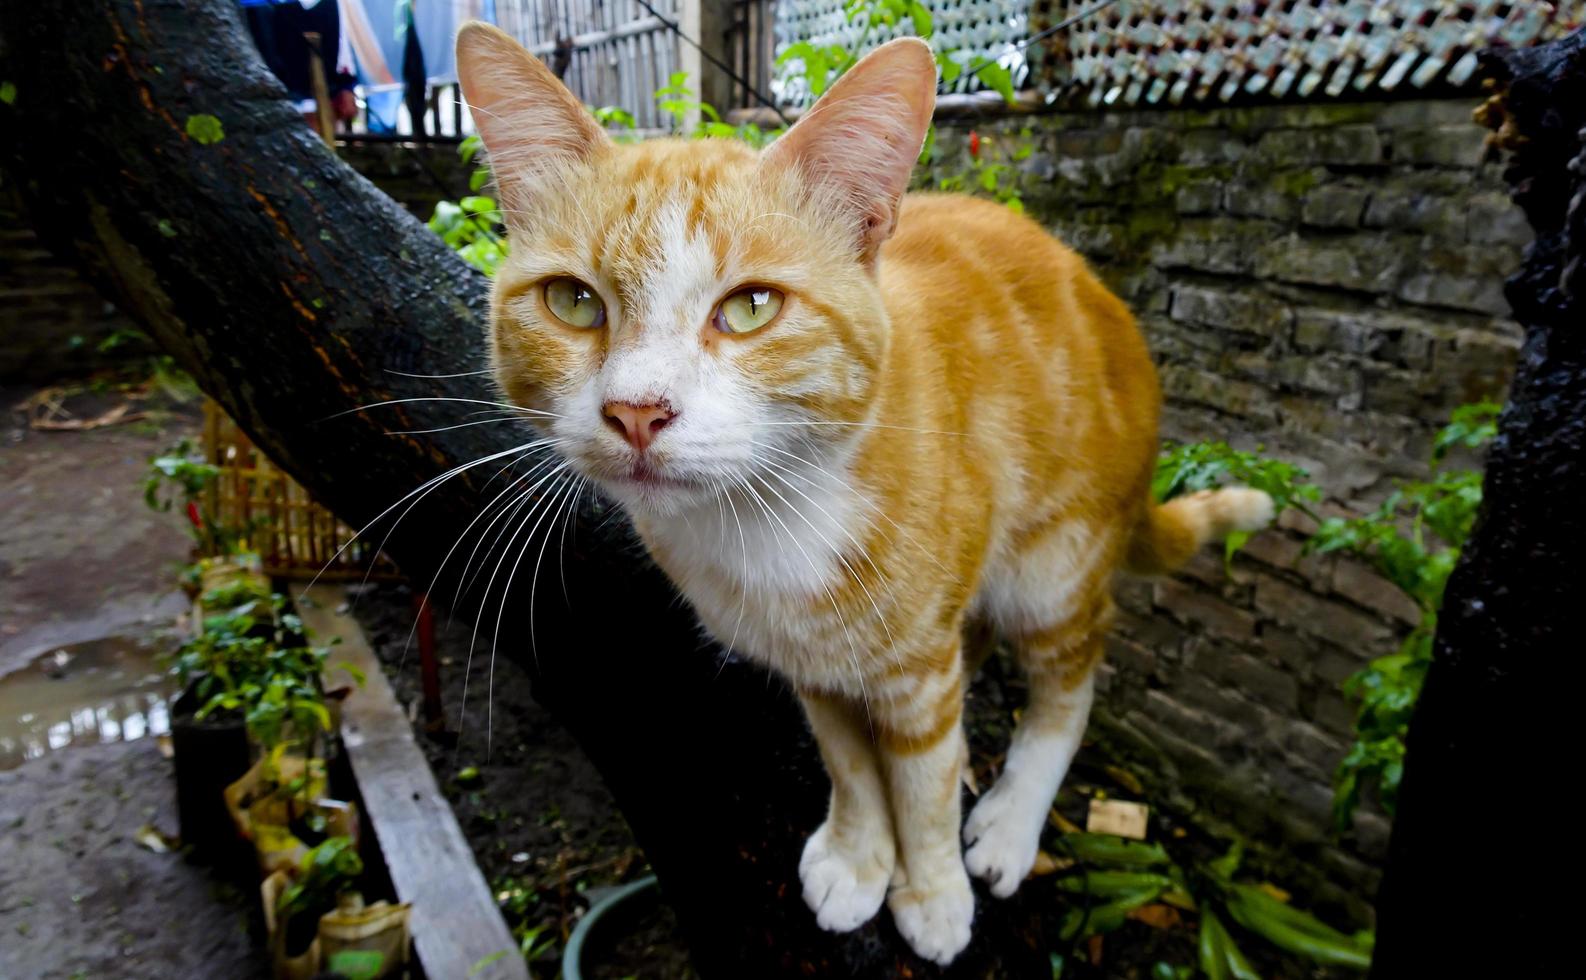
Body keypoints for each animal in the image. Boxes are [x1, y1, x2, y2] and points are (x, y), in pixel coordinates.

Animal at [453, 24, 1268, 964]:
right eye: (573, 301)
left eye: (751, 307)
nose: (637, 412)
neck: (765, 517)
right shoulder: (816, 663)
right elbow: (851, 760)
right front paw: (858, 855)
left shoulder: (917, 656)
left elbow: (923, 777)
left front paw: (933, 888)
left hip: (1055, 562)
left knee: (1071, 682)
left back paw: (1012, 819)